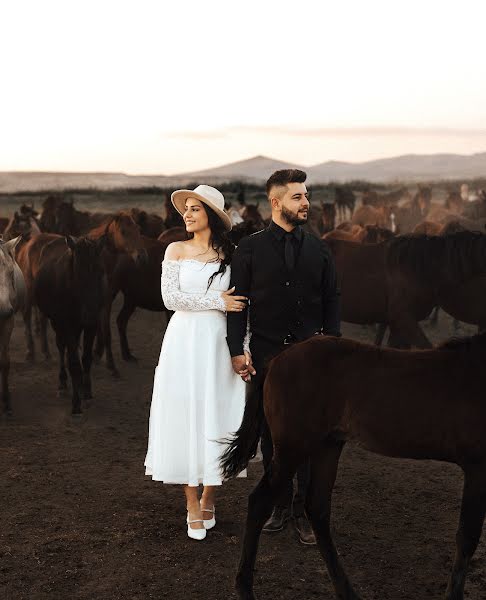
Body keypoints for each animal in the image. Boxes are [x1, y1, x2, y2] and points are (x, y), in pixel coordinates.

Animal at [223, 332, 486, 600]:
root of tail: (278, 358)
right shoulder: (478, 468)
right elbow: (467, 537)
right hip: (292, 448)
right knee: (260, 502)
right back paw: (245, 588)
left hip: (327, 445)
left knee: (317, 508)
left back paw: (346, 591)